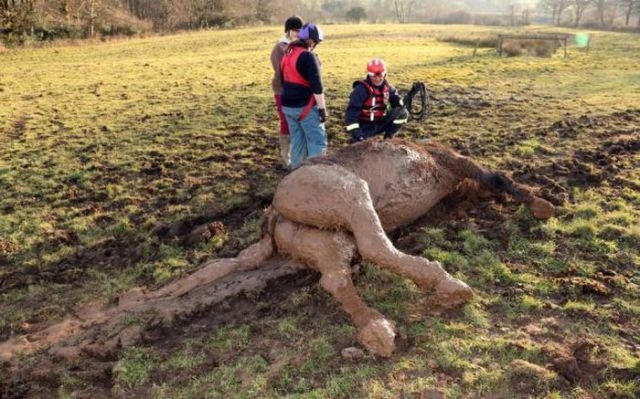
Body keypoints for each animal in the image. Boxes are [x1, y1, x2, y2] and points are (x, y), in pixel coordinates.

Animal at [0, 138, 556, 362]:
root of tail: (271, 216)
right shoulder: (454, 160)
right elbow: (498, 177)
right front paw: (543, 203)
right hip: (348, 192)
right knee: (375, 248)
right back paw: (447, 289)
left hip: (323, 238)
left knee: (337, 277)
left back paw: (377, 328)